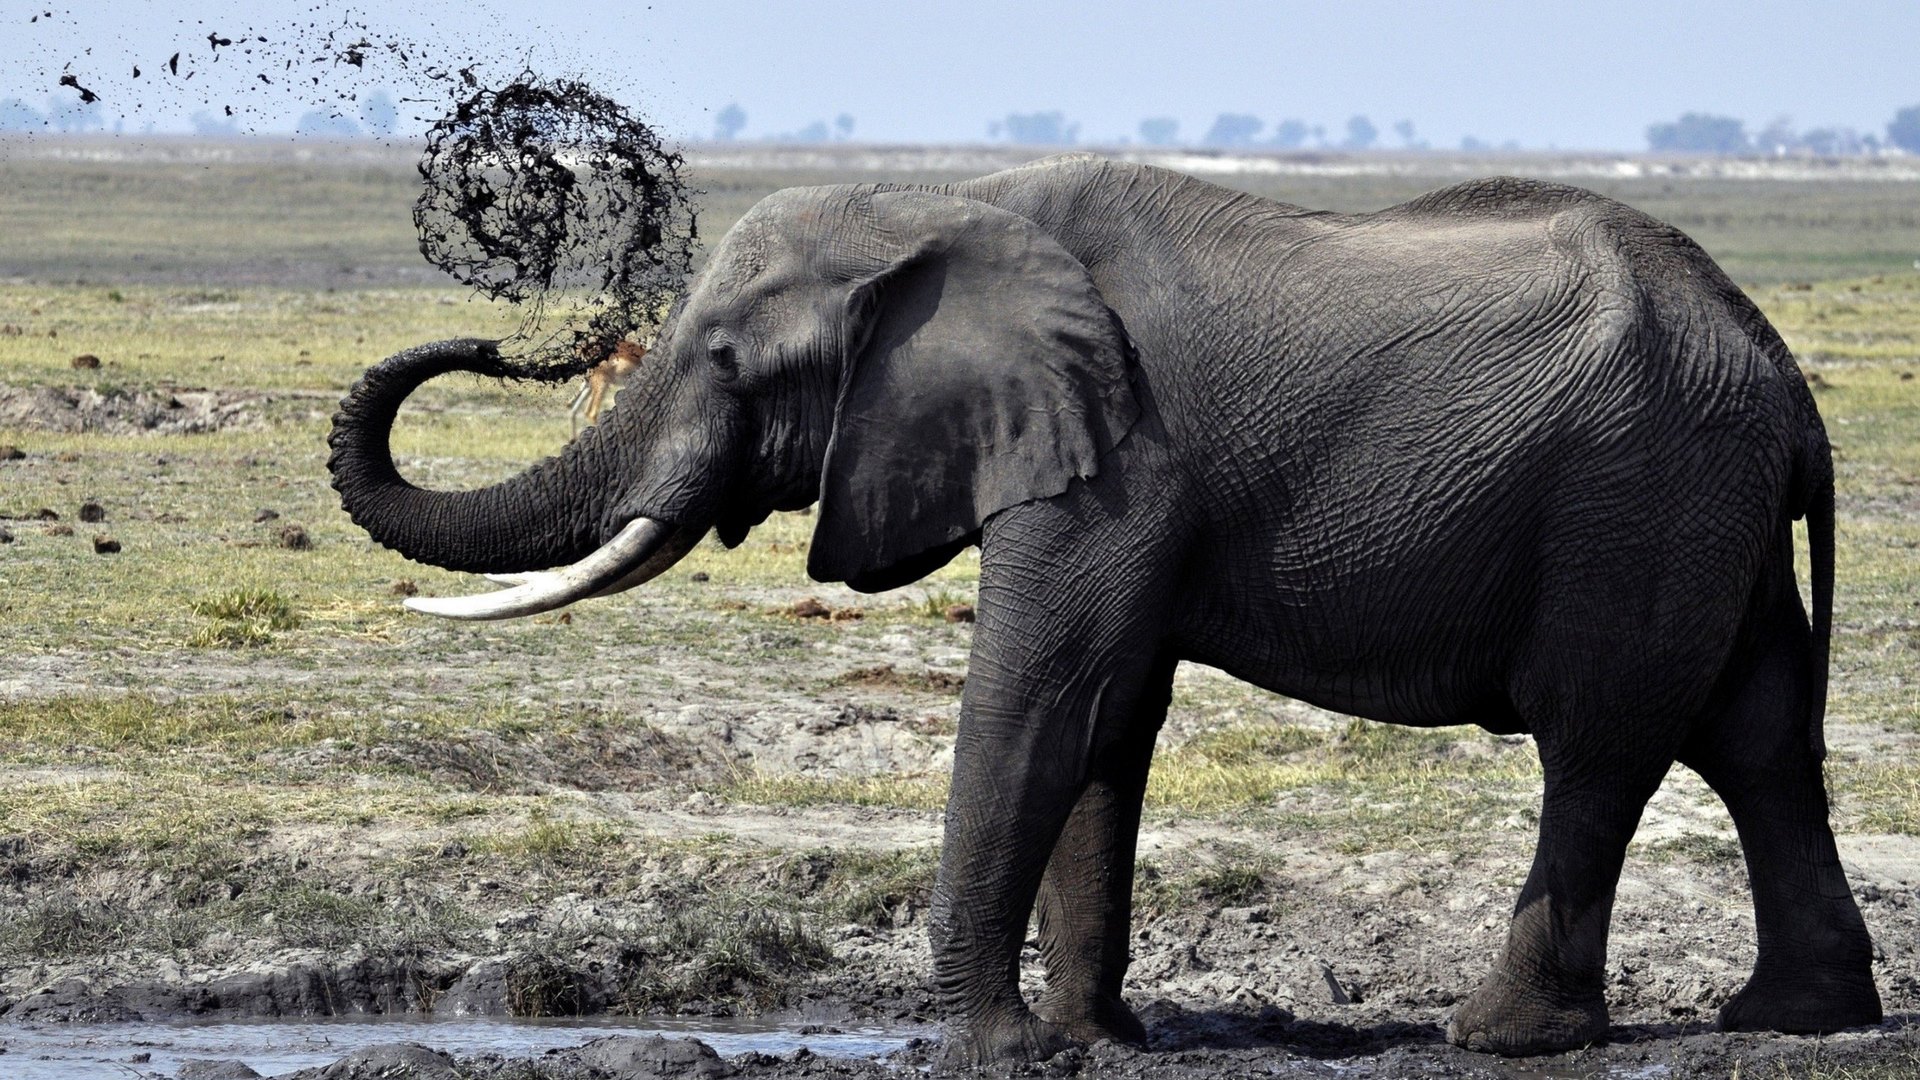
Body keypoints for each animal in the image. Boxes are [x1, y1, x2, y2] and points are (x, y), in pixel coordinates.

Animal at [327, 154, 1882, 1062]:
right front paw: (1095, 1042)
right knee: (1757, 740)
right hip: (1704, 502)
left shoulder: (1115, 455)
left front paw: (987, 1053)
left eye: (723, 359)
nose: (505, 338)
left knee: (1602, 743)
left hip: (1640, 497)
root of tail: (1783, 374)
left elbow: (1043, 693)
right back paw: (1793, 1020)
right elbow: (1106, 718)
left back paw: (1498, 1036)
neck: (943, 203)